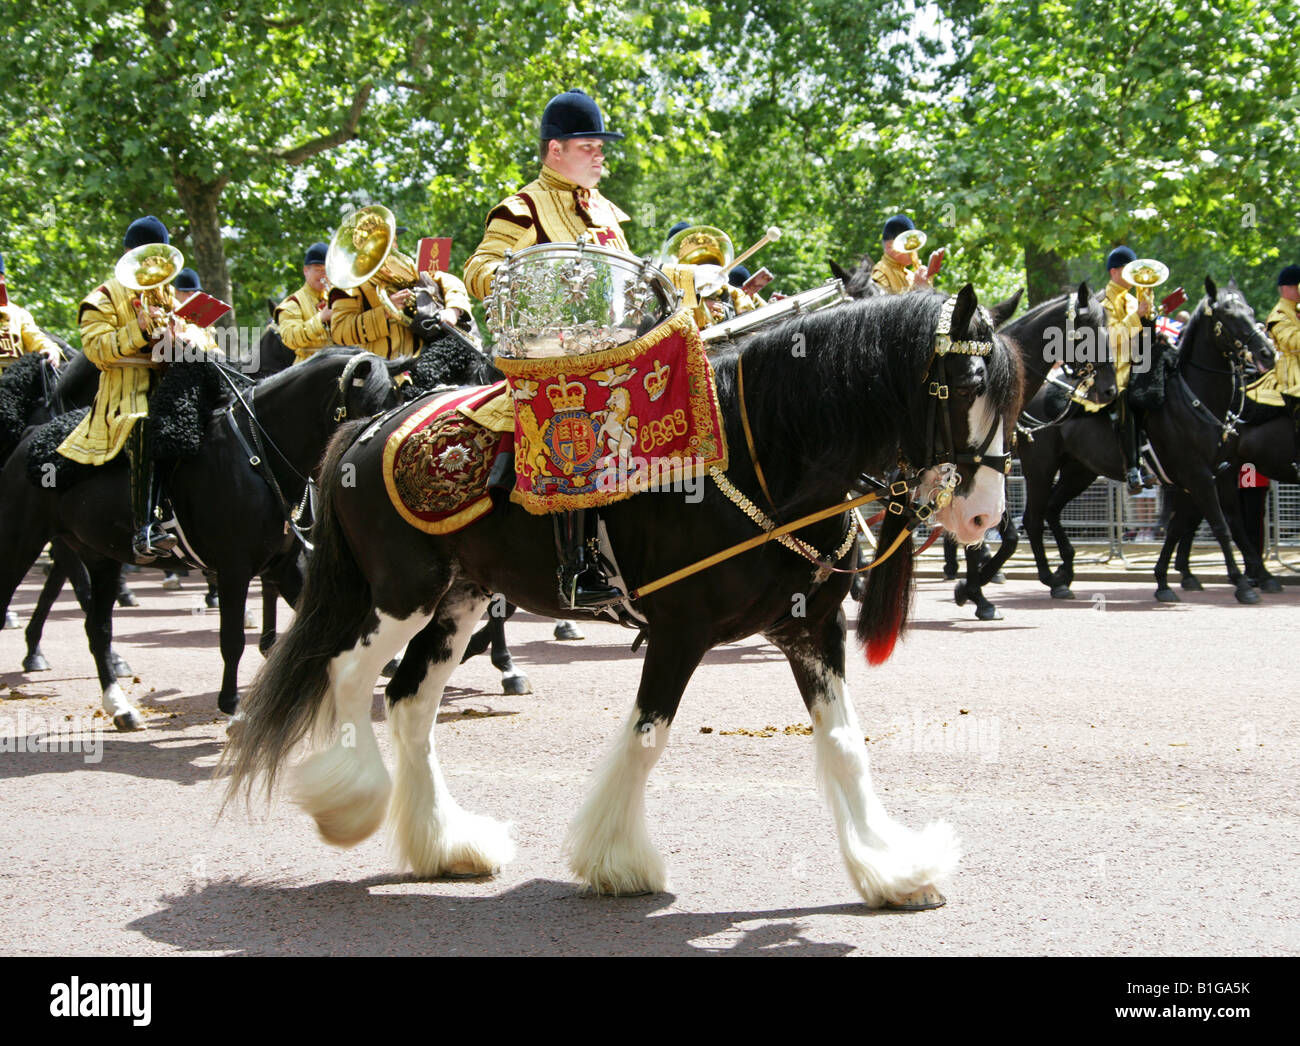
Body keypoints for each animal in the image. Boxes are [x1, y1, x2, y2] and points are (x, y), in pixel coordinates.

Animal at [222, 286, 1023, 909]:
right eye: (964, 386)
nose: (984, 517)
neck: (763, 459)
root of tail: (373, 424)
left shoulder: (811, 631)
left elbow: (844, 744)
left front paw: (891, 870)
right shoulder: (678, 632)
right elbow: (646, 737)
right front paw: (616, 860)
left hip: (461, 598)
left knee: (411, 702)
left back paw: (446, 845)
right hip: (402, 593)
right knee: (347, 675)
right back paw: (350, 803)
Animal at [1019, 278, 1274, 603]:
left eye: (1250, 311)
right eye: (1229, 315)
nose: (1268, 353)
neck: (1195, 399)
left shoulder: (1217, 475)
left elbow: (1188, 527)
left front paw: (1165, 580)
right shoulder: (1199, 476)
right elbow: (1220, 526)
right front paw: (1242, 583)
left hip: (1080, 470)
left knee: (1051, 509)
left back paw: (1065, 570)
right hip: (1039, 469)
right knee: (1033, 518)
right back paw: (1051, 578)